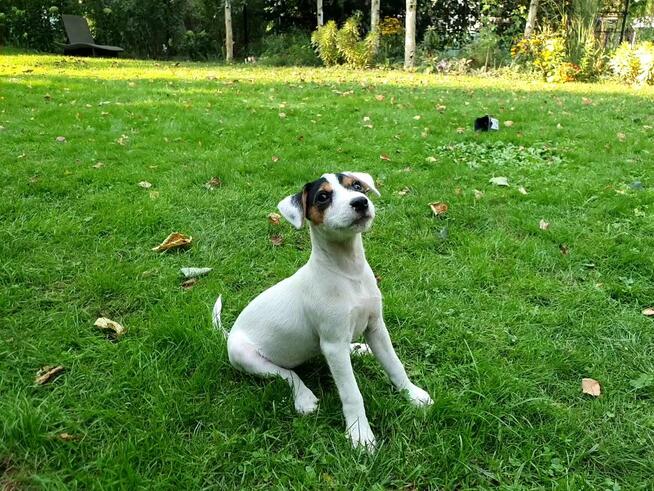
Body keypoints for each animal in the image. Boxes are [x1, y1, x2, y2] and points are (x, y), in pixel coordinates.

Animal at [213, 172, 434, 450]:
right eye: (323, 197)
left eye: (357, 186)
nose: (360, 202)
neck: (348, 272)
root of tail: (231, 332)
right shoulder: (333, 344)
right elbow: (351, 393)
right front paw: (360, 434)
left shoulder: (376, 327)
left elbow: (395, 365)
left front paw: (412, 394)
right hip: (245, 356)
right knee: (286, 374)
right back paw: (304, 397)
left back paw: (358, 349)